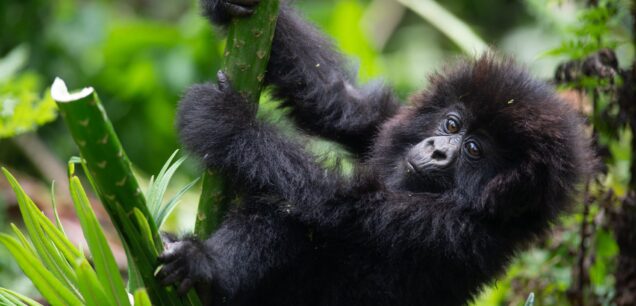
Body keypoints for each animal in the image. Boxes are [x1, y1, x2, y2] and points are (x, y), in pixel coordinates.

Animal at [157, 1, 592, 304]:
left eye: (473, 150)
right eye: (452, 125)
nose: (437, 150)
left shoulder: (450, 228)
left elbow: (336, 202)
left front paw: (225, 121)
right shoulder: (387, 122)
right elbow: (342, 103)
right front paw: (234, 3)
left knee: (294, 214)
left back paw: (205, 268)